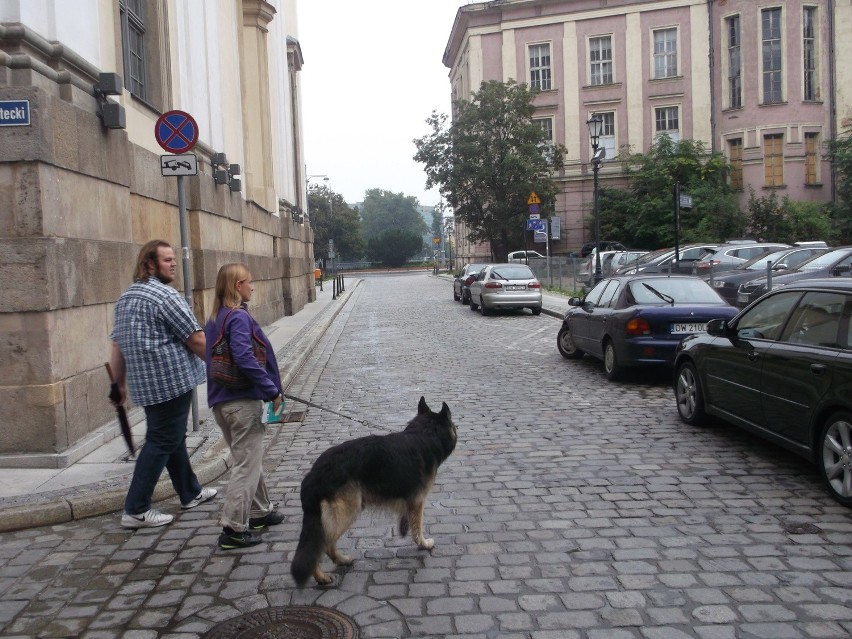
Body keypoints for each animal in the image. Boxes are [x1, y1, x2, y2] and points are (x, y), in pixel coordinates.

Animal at [290, 398, 456, 588]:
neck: (424, 433)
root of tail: (313, 475)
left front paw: (404, 529)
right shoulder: (418, 501)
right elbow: (417, 527)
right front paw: (423, 544)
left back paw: (341, 560)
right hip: (347, 512)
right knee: (322, 546)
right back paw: (322, 576)